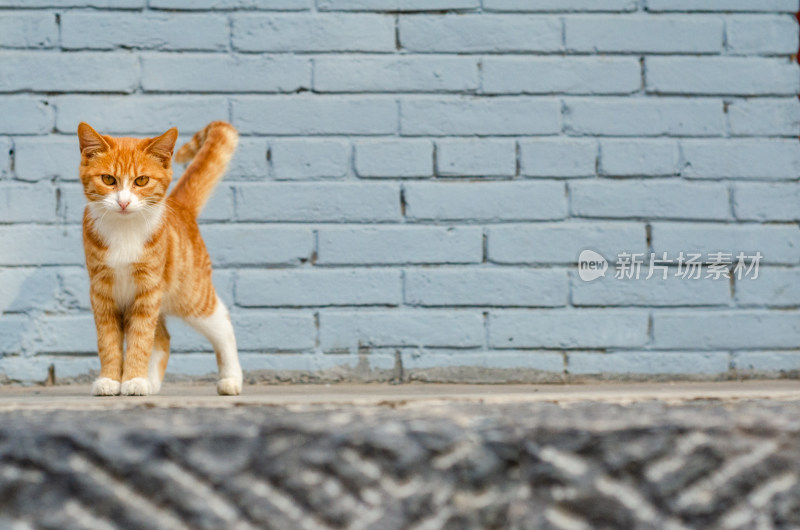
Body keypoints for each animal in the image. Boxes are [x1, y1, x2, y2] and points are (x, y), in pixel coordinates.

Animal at [77, 118, 242, 392]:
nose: (123, 202)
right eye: (108, 179)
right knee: (163, 338)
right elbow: (108, 341)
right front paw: (111, 380)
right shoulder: (101, 293)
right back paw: (151, 383)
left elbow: (141, 339)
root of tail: (180, 206)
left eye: (142, 180)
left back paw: (231, 379)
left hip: (190, 294)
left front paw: (133, 379)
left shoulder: (148, 290)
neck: (125, 230)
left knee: (222, 321)